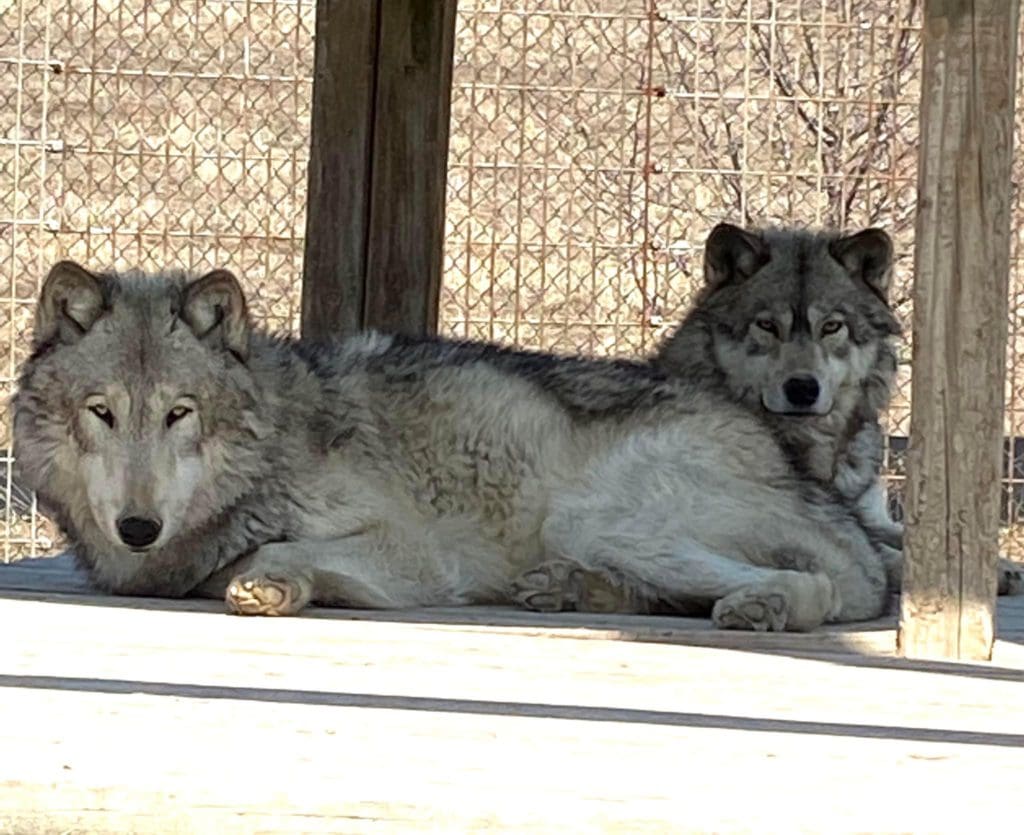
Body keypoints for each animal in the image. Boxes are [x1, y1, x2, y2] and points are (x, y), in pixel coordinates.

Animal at [9, 258, 897, 631]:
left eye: (179, 414)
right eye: (102, 412)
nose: (138, 527)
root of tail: (792, 465)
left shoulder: (417, 555)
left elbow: (265, 554)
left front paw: (268, 580)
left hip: (597, 516)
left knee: (823, 586)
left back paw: (760, 607)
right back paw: (568, 590)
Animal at [655, 225, 1024, 598]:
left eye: (832, 327)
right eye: (767, 326)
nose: (802, 389)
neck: (821, 452)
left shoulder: (867, 513)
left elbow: (906, 535)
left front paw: (1000, 566)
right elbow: (887, 554)